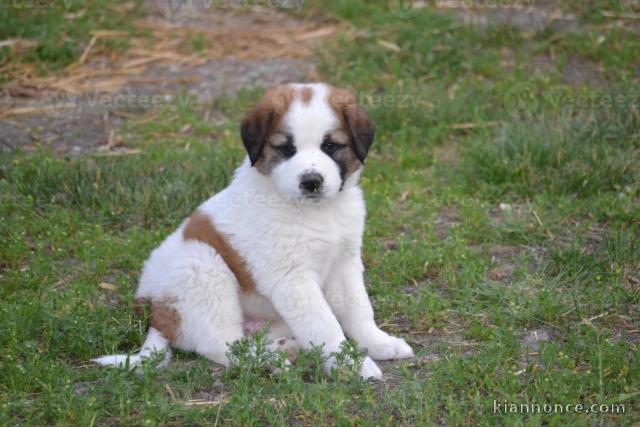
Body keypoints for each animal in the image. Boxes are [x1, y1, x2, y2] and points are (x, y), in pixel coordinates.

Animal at [95, 83, 416, 382]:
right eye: (287, 149)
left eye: (330, 146)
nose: (311, 181)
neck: (315, 211)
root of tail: (153, 311)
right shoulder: (292, 279)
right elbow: (324, 324)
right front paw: (353, 365)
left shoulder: (344, 262)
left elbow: (358, 309)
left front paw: (379, 343)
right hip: (204, 270)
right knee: (222, 344)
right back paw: (269, 362)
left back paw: (286, 350)